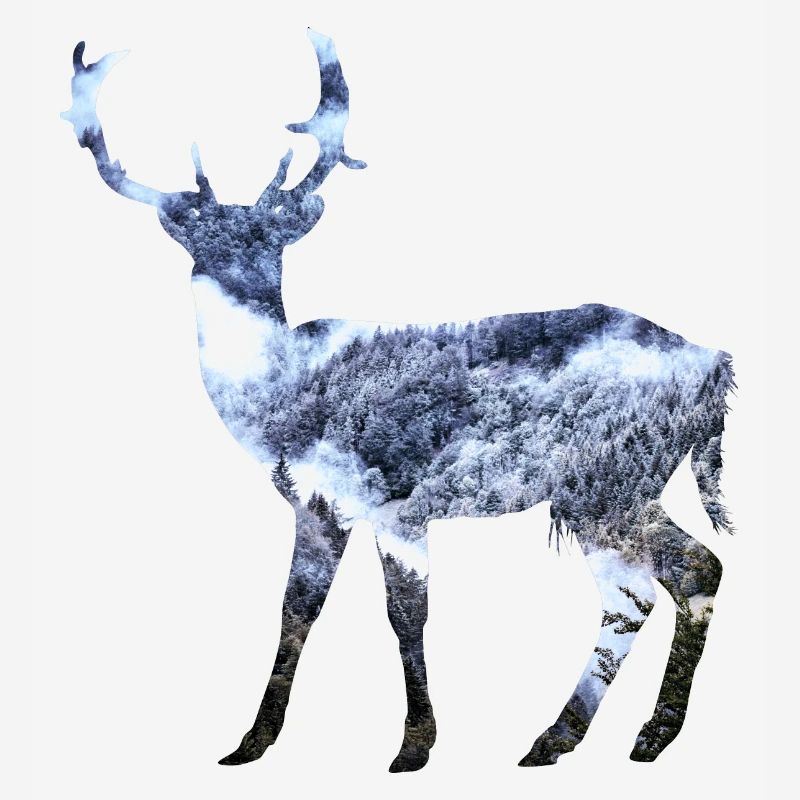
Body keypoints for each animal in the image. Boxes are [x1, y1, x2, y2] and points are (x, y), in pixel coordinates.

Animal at [62, 30, 735, 772]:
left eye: (274, 239)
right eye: (198, 236)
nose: (238, 277)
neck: (286, 395)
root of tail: (717, 369)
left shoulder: (392, 496)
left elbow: (405, 612)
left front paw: (414, 745)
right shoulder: (318, 504)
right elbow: (296, 610)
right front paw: (251, 742)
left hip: (609, 479)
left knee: (678, 574)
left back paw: (628, 735)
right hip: (608, 491)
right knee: (652, 586)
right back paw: (570, 738)